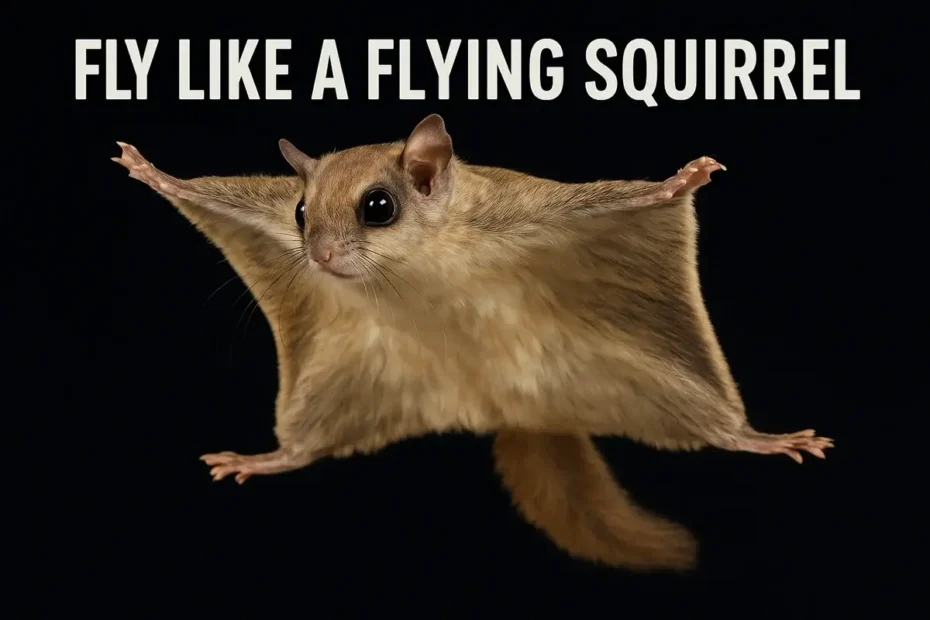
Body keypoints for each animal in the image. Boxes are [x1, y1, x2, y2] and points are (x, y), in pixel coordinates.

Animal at [111, 113, 833, 572]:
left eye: (378, 207)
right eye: (299, 211)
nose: (316, 256)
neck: (423, 263)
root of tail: (516, 411)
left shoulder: (533, 212)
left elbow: (629, 198)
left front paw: (681, 180)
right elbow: (214, 193)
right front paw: (155, 174)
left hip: (659, 380)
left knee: (714, 426)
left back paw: (759, 438)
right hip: (339, 388)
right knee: (304, 446)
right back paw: (267, 458)